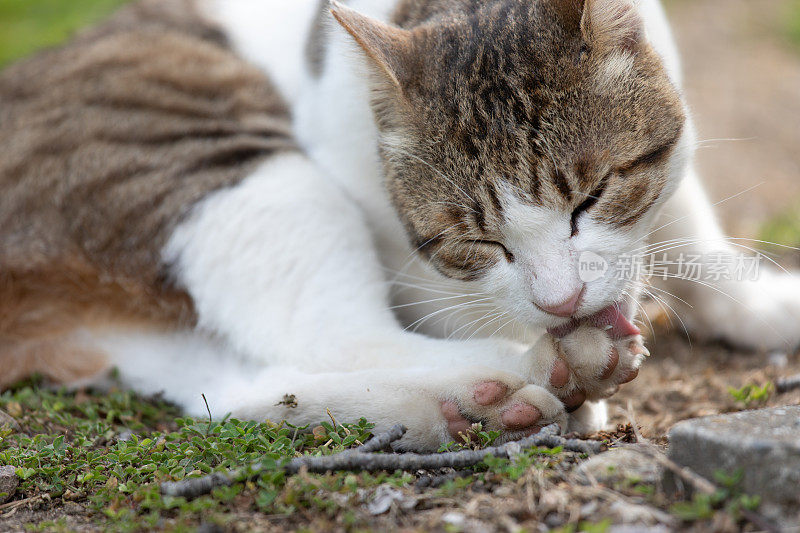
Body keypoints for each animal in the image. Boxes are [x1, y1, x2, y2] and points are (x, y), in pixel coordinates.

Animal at [1, 0, 800, 448]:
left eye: (591, 197)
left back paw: (449, 409)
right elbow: (445, 304)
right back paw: (522, 379)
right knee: (332, 336)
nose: (562, 301)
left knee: (234, 390)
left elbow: (688, 220)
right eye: (479, 241)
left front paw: (758, 304)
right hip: (215, 158)